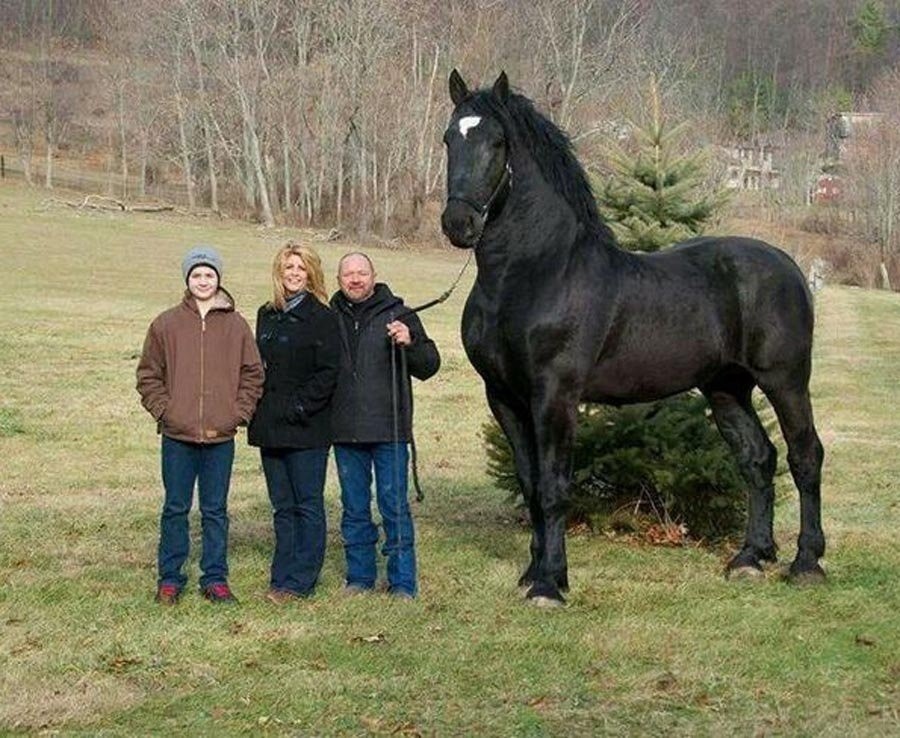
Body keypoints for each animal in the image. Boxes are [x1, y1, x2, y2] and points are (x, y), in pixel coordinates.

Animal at [440, 70, 828, 604]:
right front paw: (534, 571)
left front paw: (550, 585)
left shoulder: (554, 395)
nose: (458, 223)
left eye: (497, 142)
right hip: (726, 388)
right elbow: (530, 485)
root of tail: (787, 264)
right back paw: (750, 558)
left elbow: (554, 488)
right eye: (449, 139)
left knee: (805, 455)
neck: (535, 273)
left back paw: (806, 562)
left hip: (785, 380)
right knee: (758, 459)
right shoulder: (504, 397)